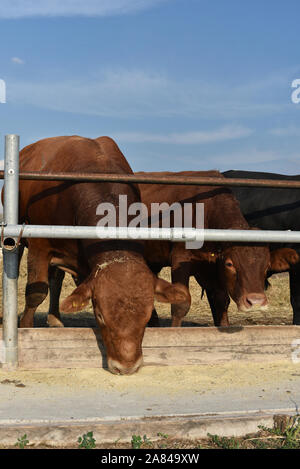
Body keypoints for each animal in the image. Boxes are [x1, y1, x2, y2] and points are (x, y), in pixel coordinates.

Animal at [14, 136, 190, 372]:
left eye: (145, 318)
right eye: (100, 316)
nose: (126, 367)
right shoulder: (39, 245)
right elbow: (36, 293)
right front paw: (25, 328)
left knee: (56, 280)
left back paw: (55, 318)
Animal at [137, 170, 298, 328]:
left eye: (267, 266)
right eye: (230, 264)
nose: (255, 302)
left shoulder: (212, 268)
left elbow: (221, 302)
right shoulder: (180, 258)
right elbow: (180, 305)